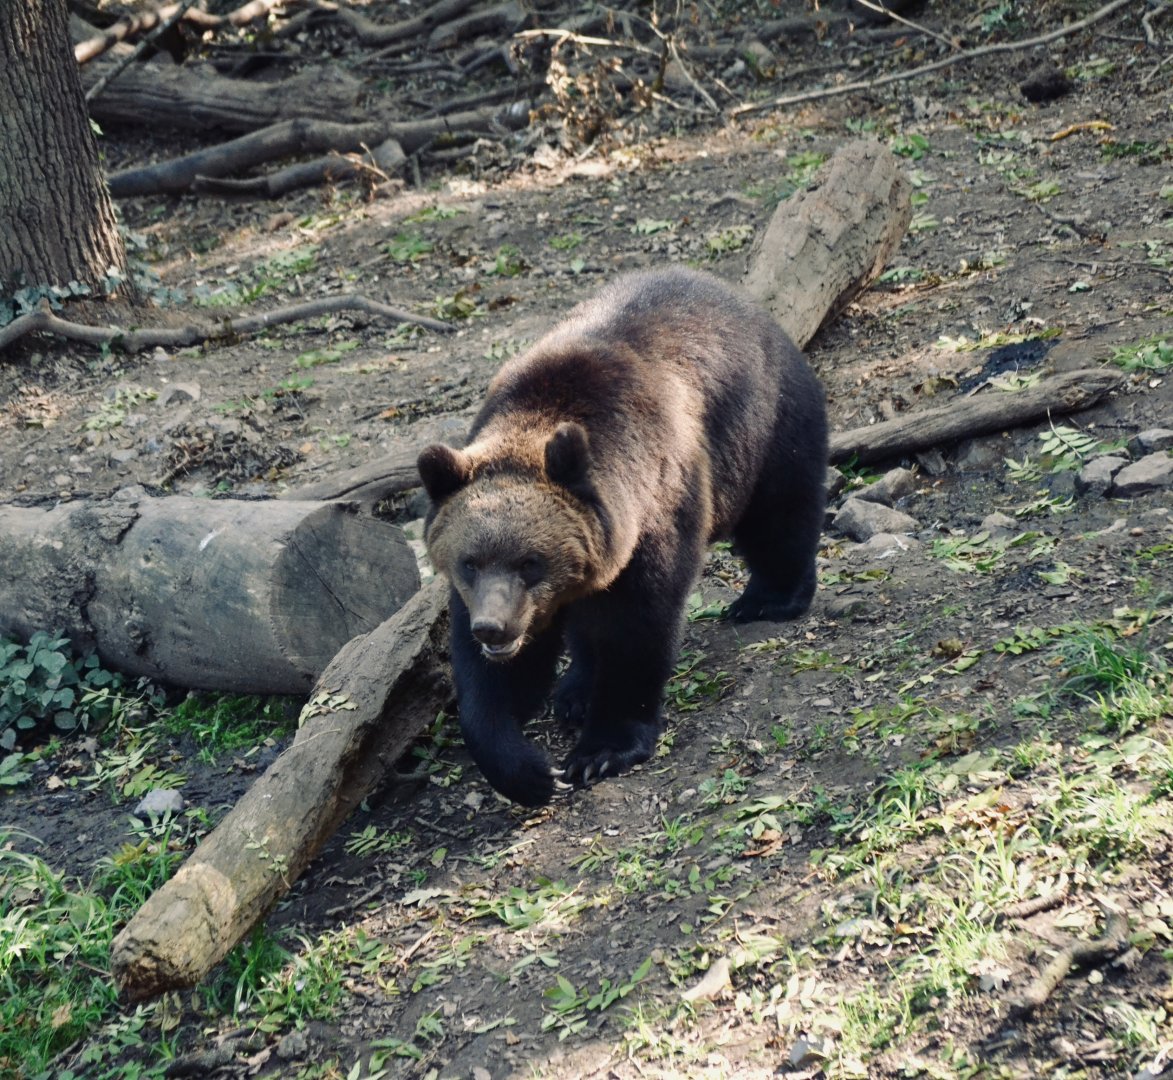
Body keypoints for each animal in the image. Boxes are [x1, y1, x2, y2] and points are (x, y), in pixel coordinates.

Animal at [417, 266, 828, 806]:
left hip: (766, 426)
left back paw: (767, 599)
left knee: (779, 512)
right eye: (469, 562)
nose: (494, 629)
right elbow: (491, 682)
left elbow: (638, 625)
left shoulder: (657, 510)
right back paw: (575, 690)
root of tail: (743, 301)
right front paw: (528, 769)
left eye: (531, 561)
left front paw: (600, 751)